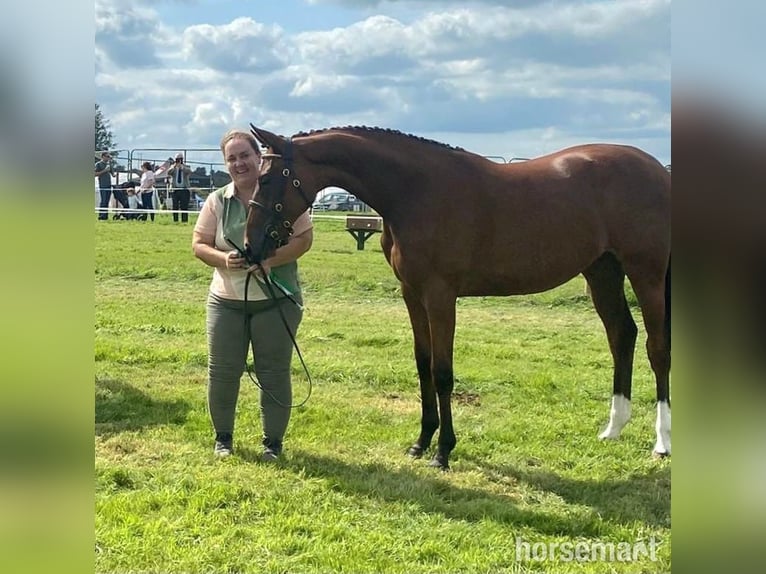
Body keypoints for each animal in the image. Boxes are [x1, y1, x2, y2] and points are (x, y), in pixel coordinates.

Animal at [244, 125, 671, 470]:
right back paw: (613, 428)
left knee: (657, 348)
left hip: (646, 275)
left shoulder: (440, 295)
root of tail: (657, 170)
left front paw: (443, 451)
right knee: (622, 336)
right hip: (603, 271)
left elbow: (442, 372)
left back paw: (662, 442)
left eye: (267, 179)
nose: (250, 246)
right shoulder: (412, 294)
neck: (416, 191)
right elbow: (423, 365)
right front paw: (421, 442)